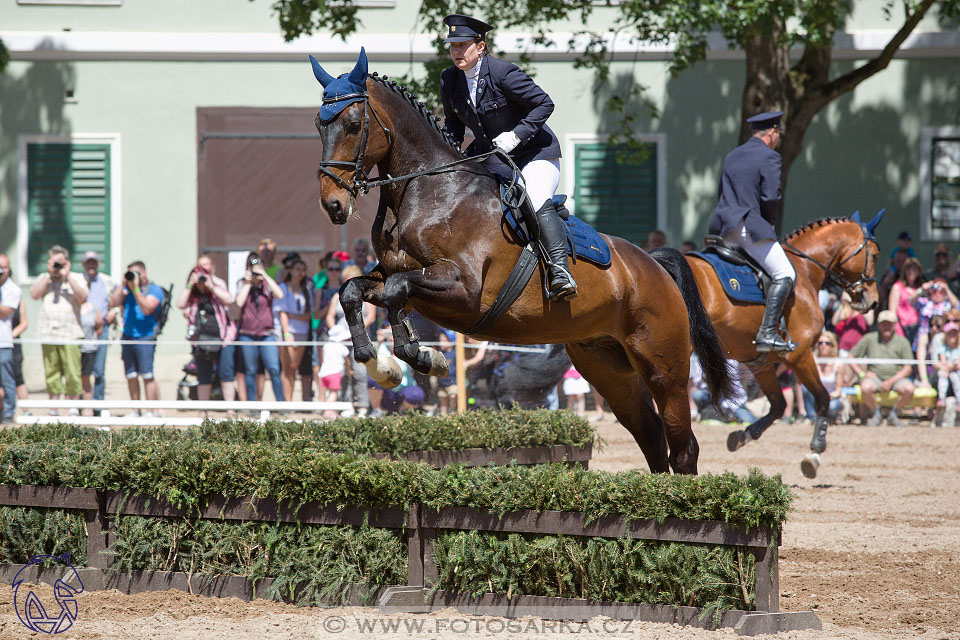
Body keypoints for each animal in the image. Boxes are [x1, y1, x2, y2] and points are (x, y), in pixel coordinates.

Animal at [312, 51, 732, 476]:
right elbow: (354, 291)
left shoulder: (464, 290)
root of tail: (655, 266)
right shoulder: (397, 275)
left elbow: (397, 292)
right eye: (319, 124)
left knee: (683, 446)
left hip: (663, 366)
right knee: (650, 436)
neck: (428, 189)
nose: (333, 205)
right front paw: (383, 364)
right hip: (607, 367)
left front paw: (423, 357)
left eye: (353, 124)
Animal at [664, 212, 880, 478]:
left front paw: (742, 436)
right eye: (875, 255)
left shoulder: (761, 361)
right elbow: (822, 398)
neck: (804, 271)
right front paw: (814, 454)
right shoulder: (800, 355)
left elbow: (778, 405)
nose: (873, 302)